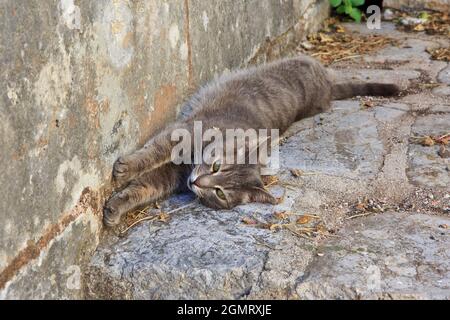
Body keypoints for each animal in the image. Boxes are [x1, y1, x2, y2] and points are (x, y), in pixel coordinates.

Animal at [103, 55, 400, 226]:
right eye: (216, 166)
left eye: (221, 193)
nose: (197, 183)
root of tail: (327, 88)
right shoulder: (185, 132)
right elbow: (154, 152)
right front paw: (126, 168)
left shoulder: (172, 176)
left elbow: (144, 188)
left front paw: (116, 208)